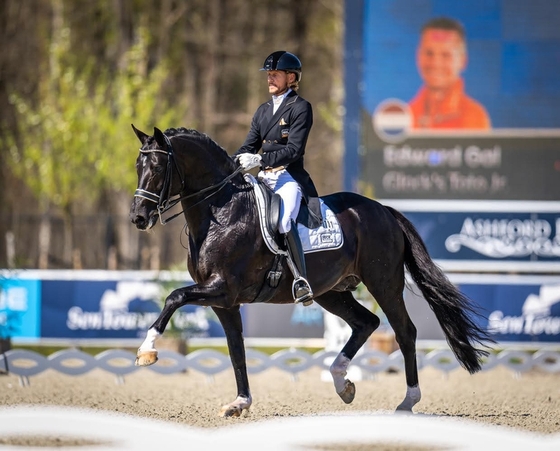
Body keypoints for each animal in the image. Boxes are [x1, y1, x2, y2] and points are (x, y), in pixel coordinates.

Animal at [130, 125, 490, 418]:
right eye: (137, 166)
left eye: (158, 167)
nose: (138, 218)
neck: (223, 212)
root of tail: (383, 210)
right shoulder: (224, 302)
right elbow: (236, 350)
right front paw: (240, 403)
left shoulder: (222, 288)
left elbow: (175, 296)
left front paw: (147, 350)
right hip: (330, 292)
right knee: (366, 323)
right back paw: (343, 384)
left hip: (384, 283)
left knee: (404, 332)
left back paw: (407, 401)